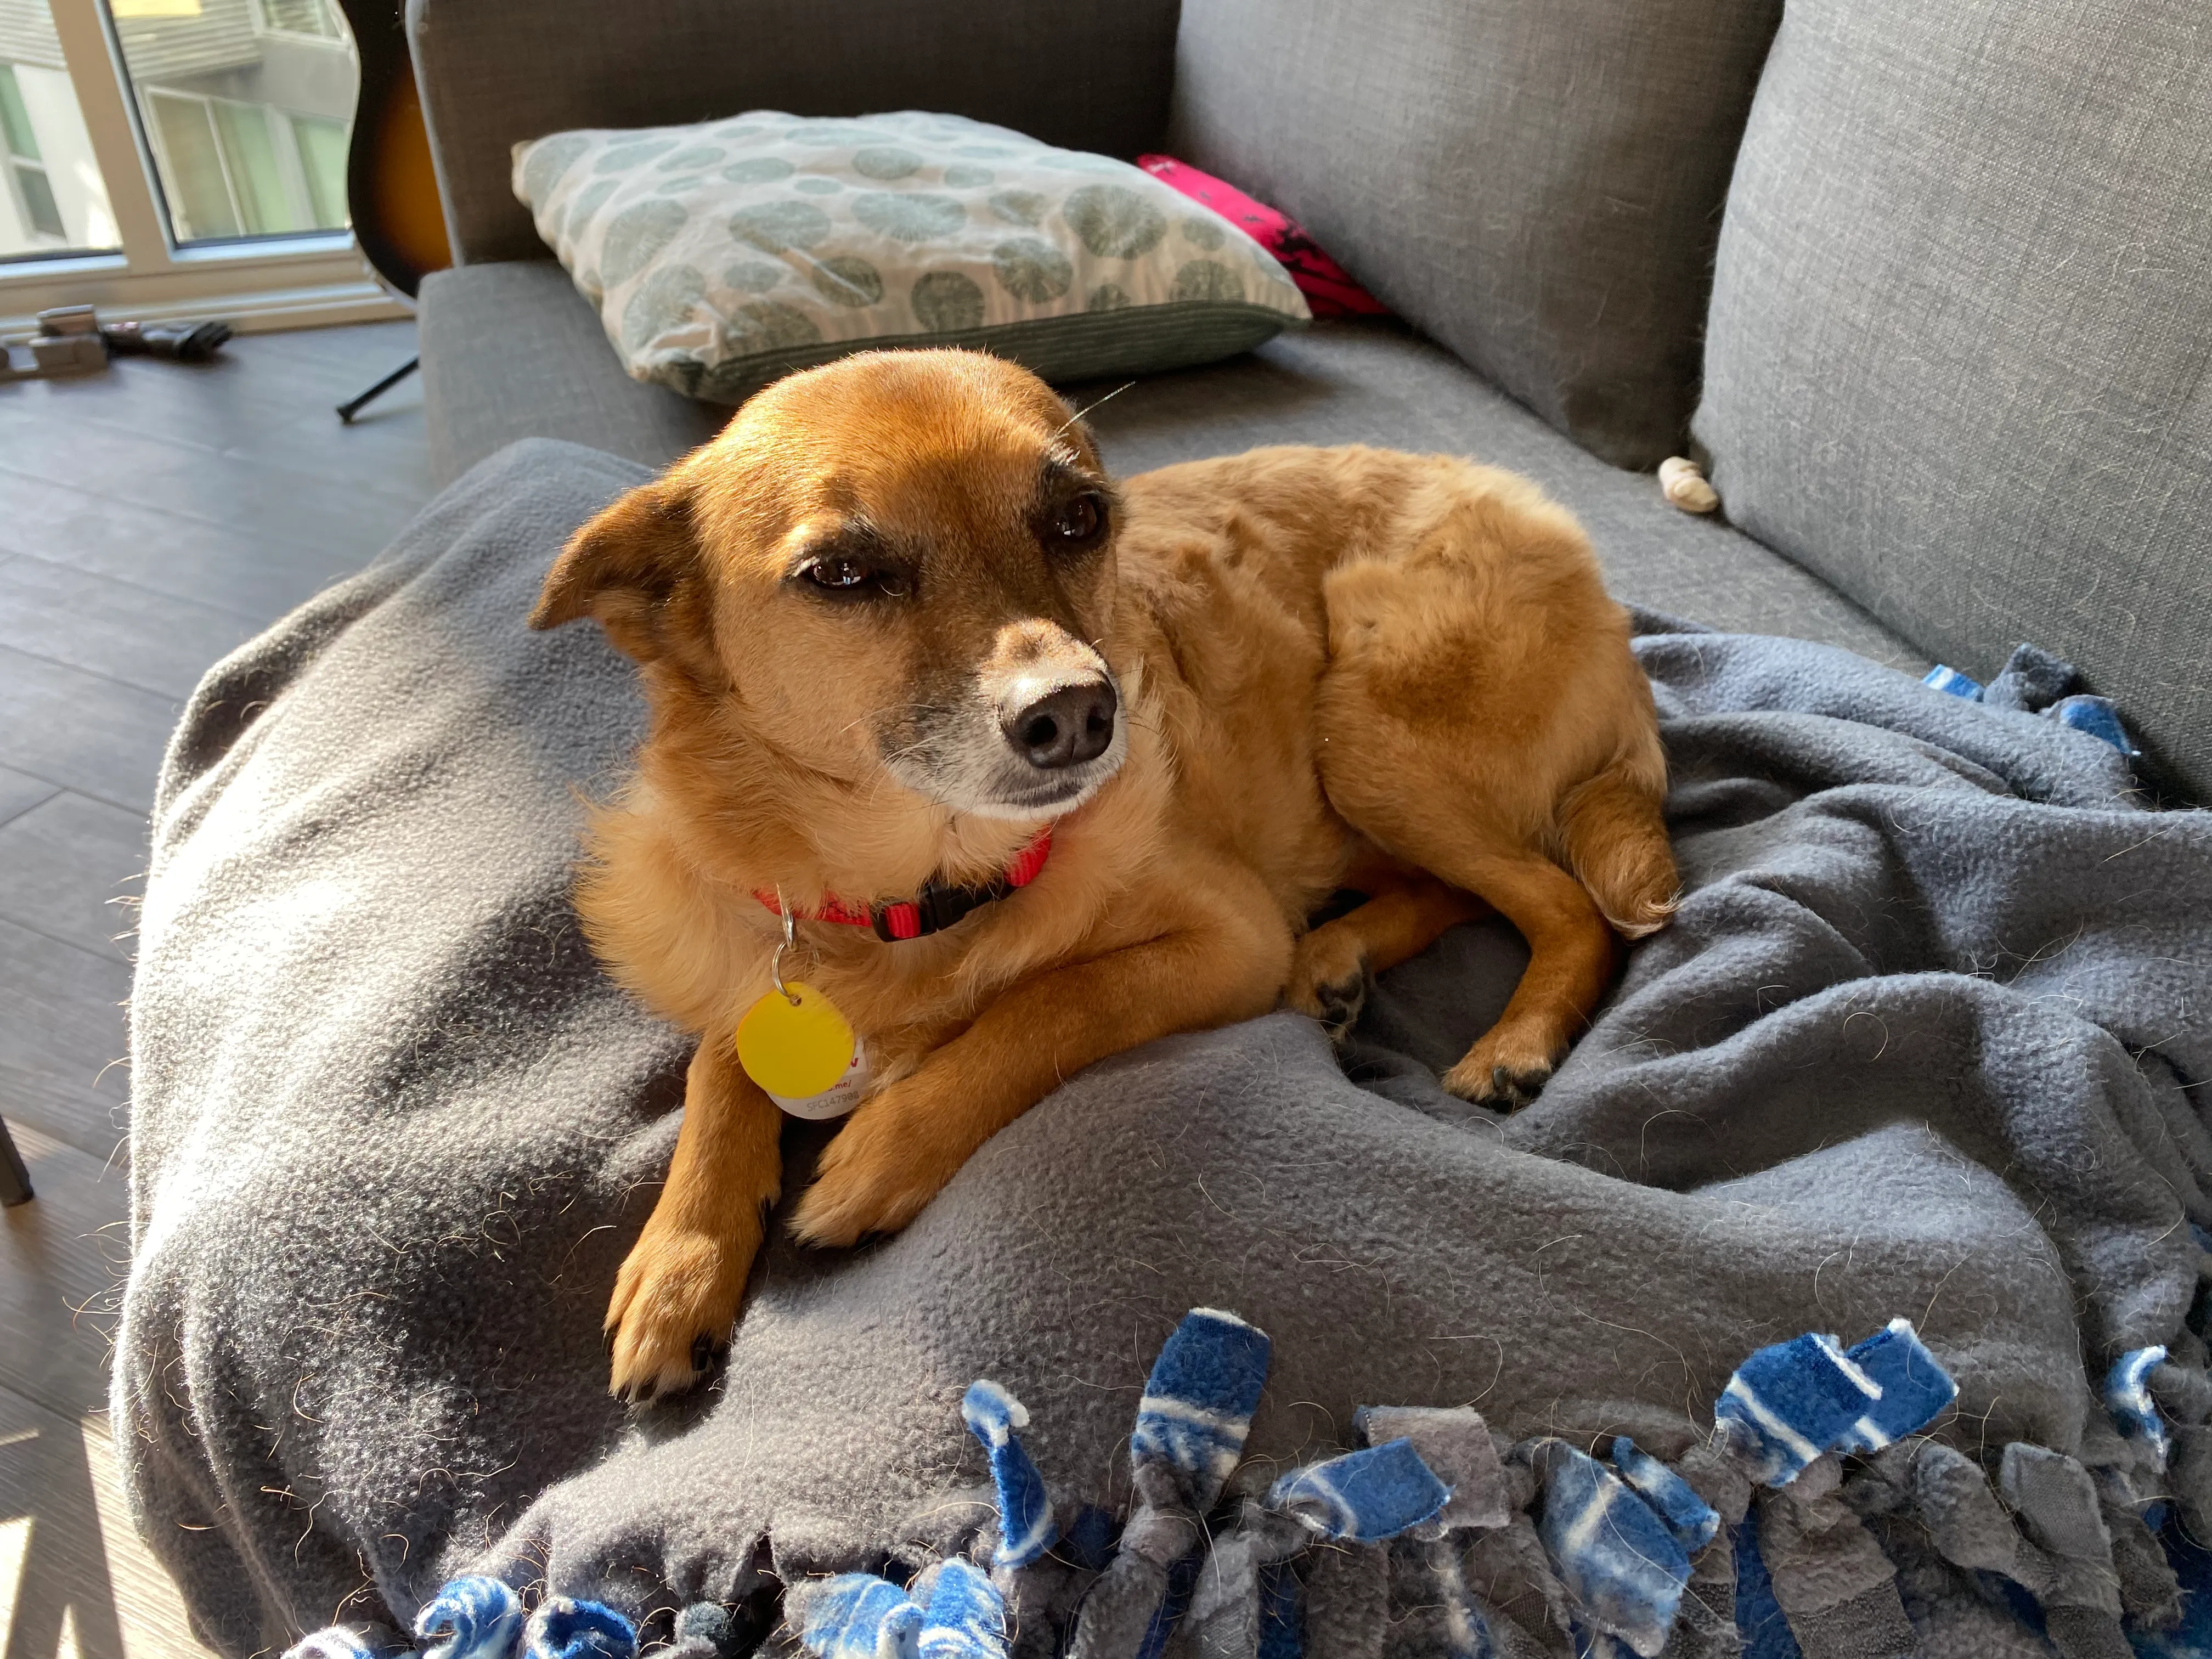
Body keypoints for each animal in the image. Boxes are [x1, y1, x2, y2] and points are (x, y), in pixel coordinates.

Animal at [535, 352, 1672, 1407]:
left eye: (1079, 520)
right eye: (841, 574)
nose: (1079, 710)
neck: (921, 890)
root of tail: (1545, 520)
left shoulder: (1224, 939)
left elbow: (1049, 1003)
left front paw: (879, 1152)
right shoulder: (754, 948)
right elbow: (720, 1066)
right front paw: (679, 1260)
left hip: (1366, 730)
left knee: (1564, 905)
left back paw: (1512, 1040)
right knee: (1457, 889)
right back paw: (1335, 960)